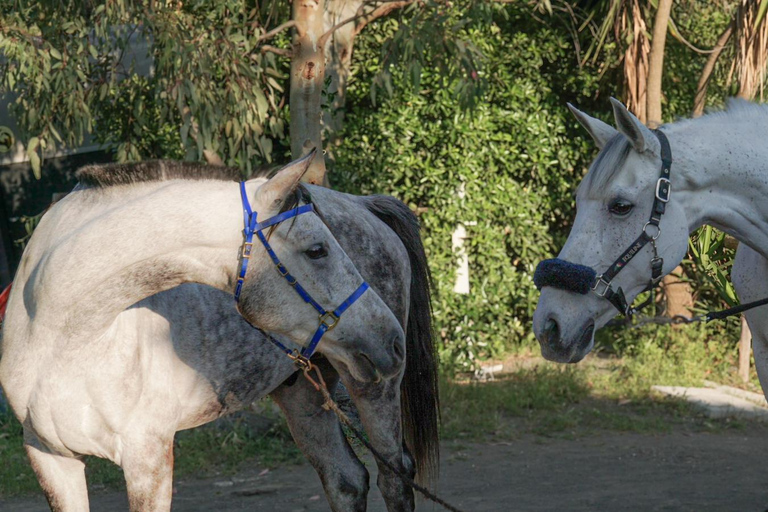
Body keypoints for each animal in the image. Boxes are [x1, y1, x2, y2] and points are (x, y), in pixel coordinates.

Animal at [0, 154, 438, 510]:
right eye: (317, 250)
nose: (391, 340)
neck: (65, 335)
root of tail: (364, 204)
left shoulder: (147, 458)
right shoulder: (50, 458)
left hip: (373, 389)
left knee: (394, 477)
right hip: (303, 392)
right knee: (346, 480)